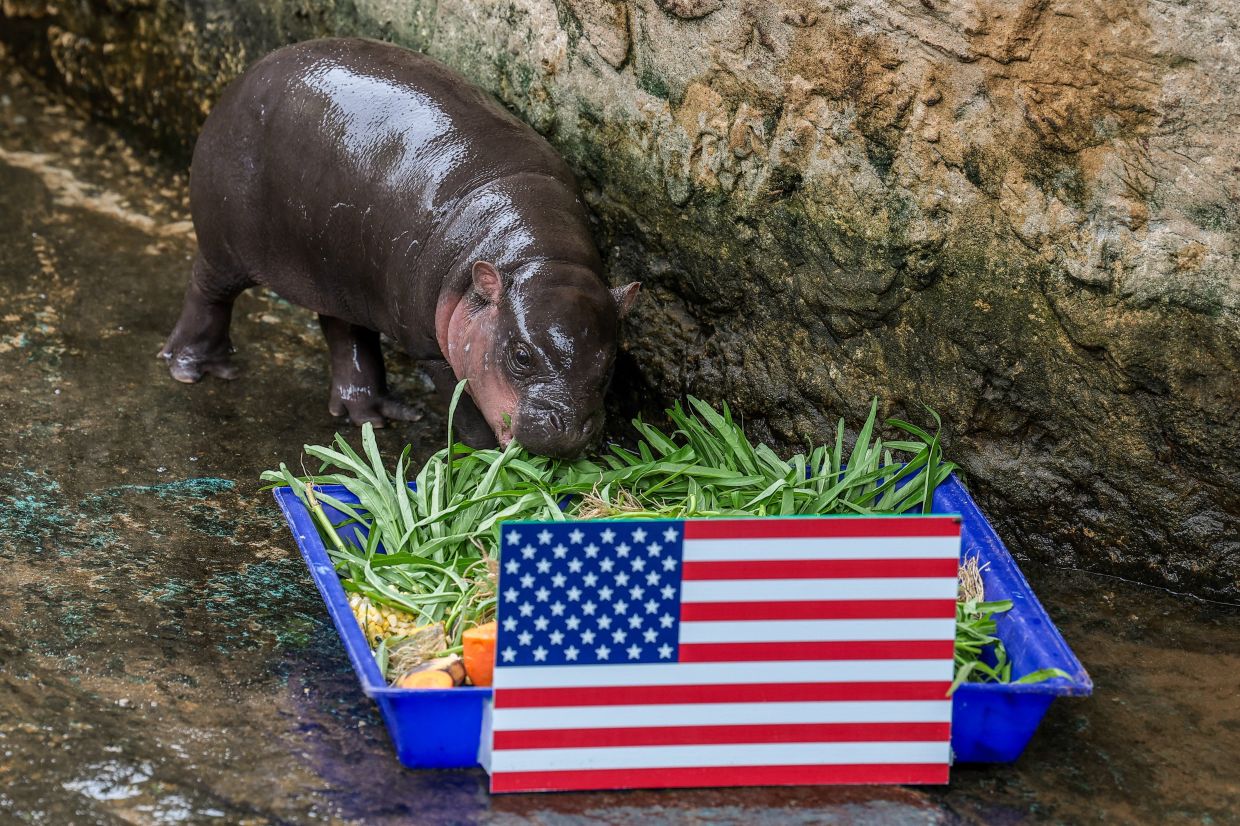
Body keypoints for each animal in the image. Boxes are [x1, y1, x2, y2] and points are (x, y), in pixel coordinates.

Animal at [160, 37, 639, 457]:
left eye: (610, 363)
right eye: (520, 356)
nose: (570, 430)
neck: (534, 256)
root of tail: (248, 72)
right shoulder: (430, 349)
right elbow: (466, 412)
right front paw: (487, 462)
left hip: (338, 270)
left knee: (346, 332)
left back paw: (373, 416)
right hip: (225, 244)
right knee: (208, 291)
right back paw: (197, 368)